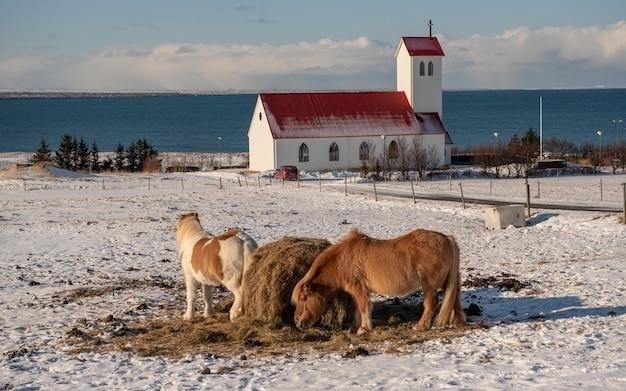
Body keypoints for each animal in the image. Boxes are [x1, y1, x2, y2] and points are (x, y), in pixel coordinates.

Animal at [288, 228, 464, 336]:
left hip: (429, 286)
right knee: (455, 299)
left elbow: (364, 308)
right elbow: (358, 309)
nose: (297, 322)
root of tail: (447, 239)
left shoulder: (359, 289)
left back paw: (420, 326)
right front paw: (354, 328)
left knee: (431, 304)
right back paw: (458, 322)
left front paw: (363, 329)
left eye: (304, 298)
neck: (343, 260)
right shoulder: (357, 292)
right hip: (448, 283)